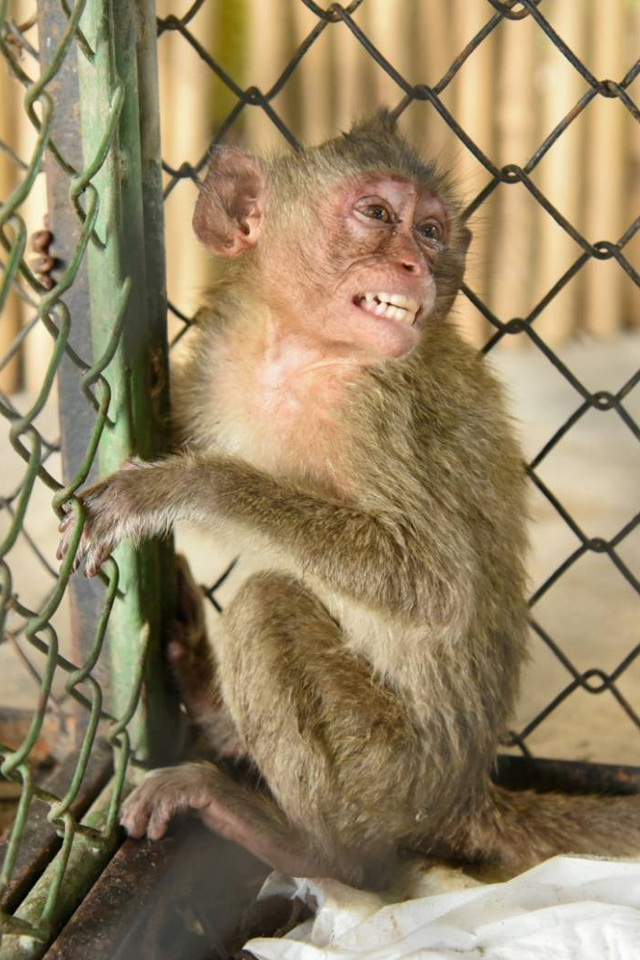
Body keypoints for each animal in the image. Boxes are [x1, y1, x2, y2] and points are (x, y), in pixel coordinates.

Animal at [57, 114, 640, 892]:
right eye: (378, 215)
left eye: (431, 231)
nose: (416, 265)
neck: (303, 352)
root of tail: (465, 792)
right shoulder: (219, 353)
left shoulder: (379, 407)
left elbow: (435, 588)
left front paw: (177, 488)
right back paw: (215, 712)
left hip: (389, 775)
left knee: (267, 608)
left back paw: (310, 850)